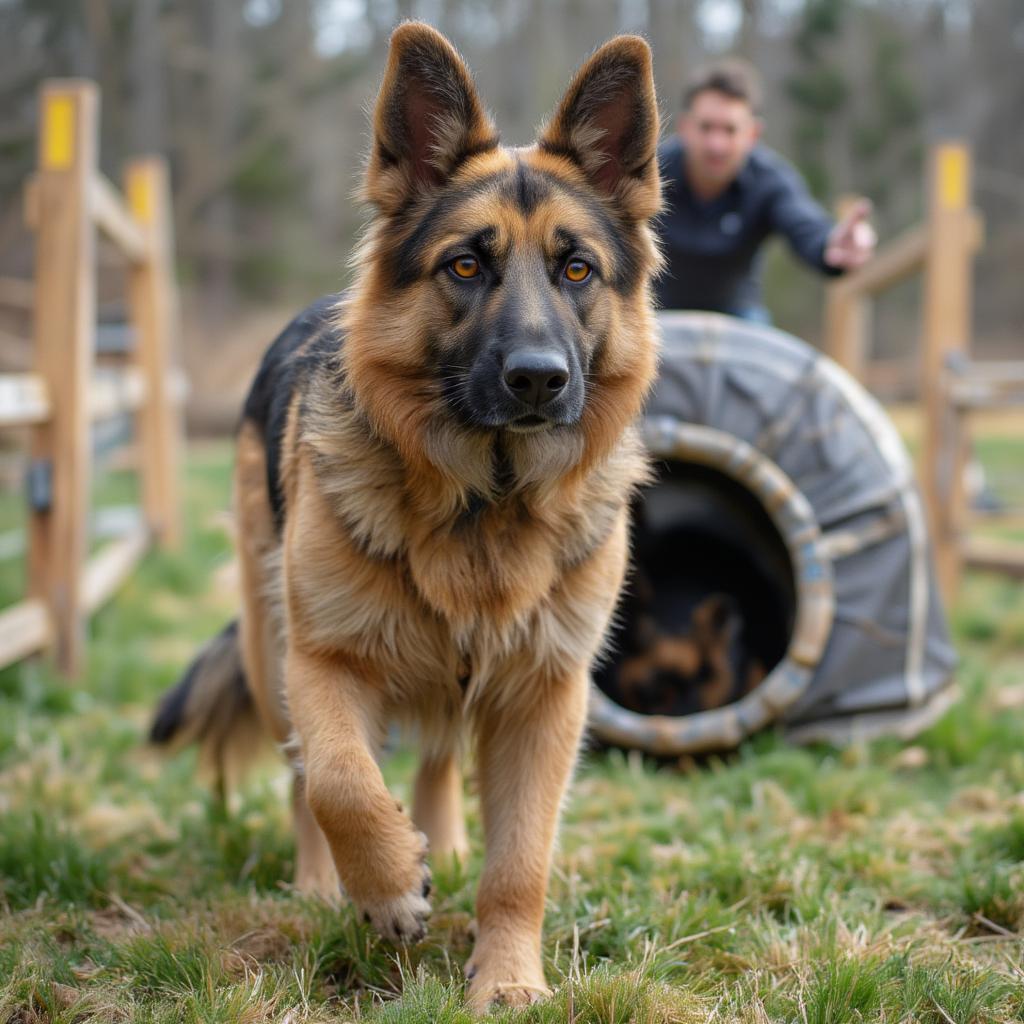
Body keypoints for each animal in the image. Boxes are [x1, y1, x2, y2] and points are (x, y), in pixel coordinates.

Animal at [152, 19, 663, 1011]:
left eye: (577, 268)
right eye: (465, 265)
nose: (539, 380)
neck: (484, 505)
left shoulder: (546, 698)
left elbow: (521, 862)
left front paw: (507, 979)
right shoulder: (323, 662)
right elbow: (340, 783)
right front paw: (388, 890)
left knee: (437, 756)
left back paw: (446, 842)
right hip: (270, 653)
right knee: (304, 775)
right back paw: (323, 887)